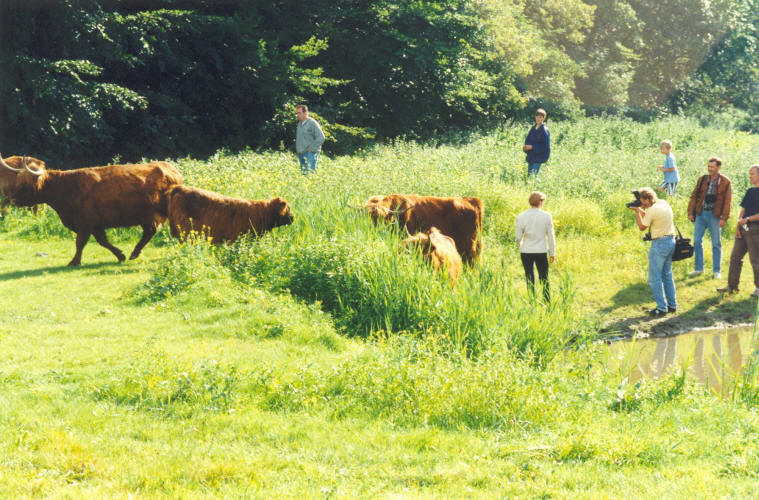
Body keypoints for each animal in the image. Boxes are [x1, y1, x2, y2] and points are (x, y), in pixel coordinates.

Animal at [0, 154, 183, 266]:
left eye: (25, 185)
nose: (13, 198)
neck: (65, 189)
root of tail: (171, 169)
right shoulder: (95, 225)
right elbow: (103, 241)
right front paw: (120, 255)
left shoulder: (85, 223)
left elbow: (80, 242)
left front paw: (74, 261)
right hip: (146, 216)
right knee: (149, 231)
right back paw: (134, 253)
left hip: (154, 214)